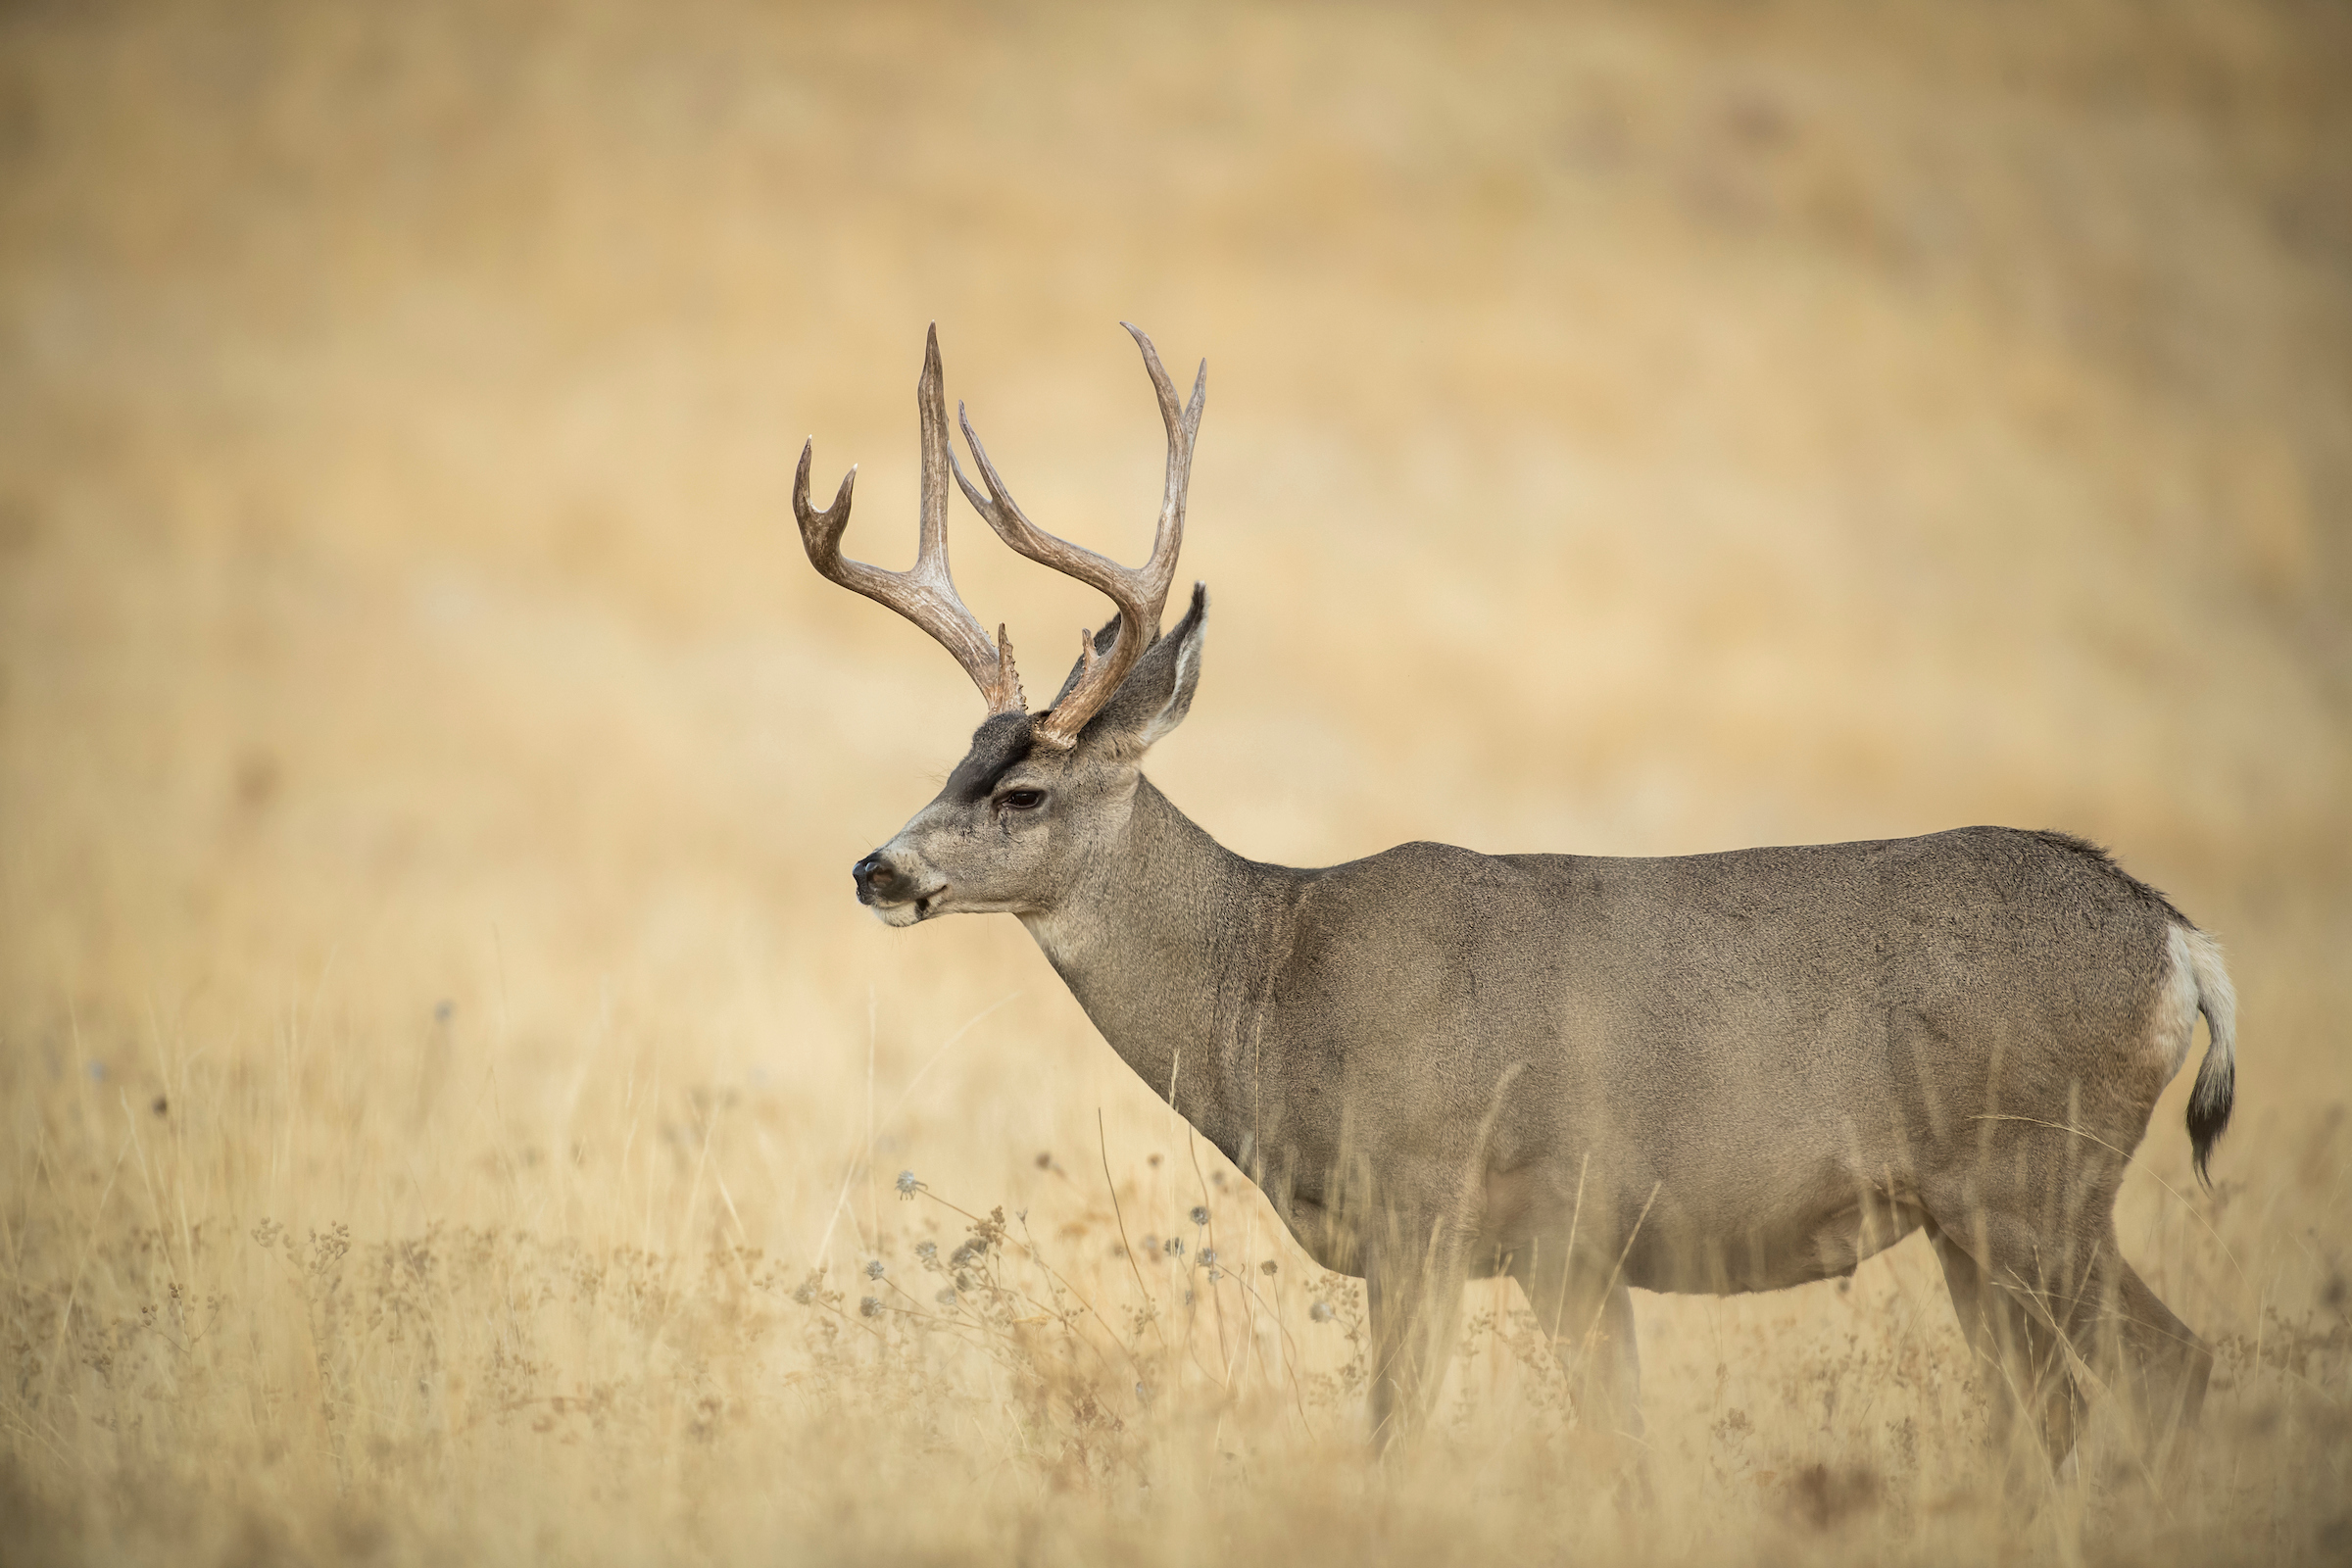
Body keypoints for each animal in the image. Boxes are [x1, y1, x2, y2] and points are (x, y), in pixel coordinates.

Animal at [795, 324, 2238, 1466]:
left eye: (1024, 793)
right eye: (957, 759)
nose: (878, 869)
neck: (1270, 986)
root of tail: (2179, 945)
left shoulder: (1429, 1210)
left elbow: (1397, 1441)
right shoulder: (1571, 1253)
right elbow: (1620, 1448)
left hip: (2034, 1179)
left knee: (2164, 1374)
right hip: (1984, 1219)